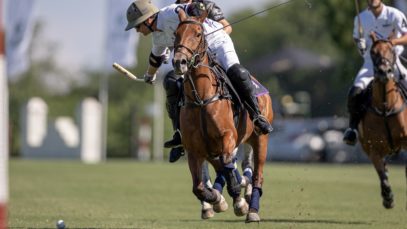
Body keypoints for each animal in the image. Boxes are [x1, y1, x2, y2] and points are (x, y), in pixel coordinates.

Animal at [172, 13, 274, 223]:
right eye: (175, 33)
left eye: (198, 33)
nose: (179, 62)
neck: (201, 99)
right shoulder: (194, 149)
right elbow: (199, 187)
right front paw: (215, 200)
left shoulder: (227, 137)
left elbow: (228, 166)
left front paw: (238, 201)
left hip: (260, 139)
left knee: (257, 175)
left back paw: (252, 209)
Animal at [360, 33, 407, 208]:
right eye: (373, 52)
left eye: (392, 51)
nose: (384, 71)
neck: (386, 107)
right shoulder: (373, 149)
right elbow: (383, 176)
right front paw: (388, 198)